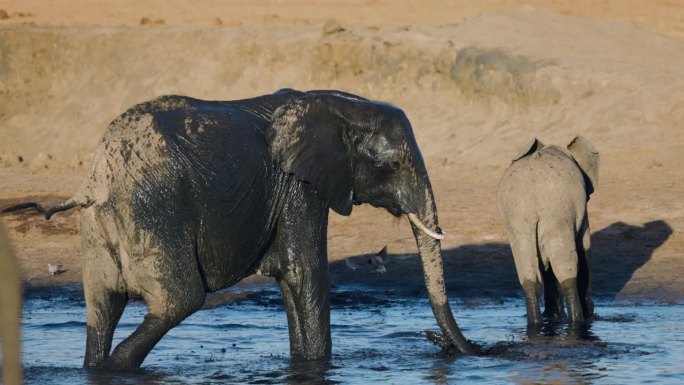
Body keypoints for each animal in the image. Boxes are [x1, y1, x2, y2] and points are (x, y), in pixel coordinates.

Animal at [28, 89, 476, 368]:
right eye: (396, 164)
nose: (435, 341)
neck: (340, 105)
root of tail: (96, 181)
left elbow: (291, 282)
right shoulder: (299, 187)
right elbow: (304, 274)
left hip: (101, 227)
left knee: (102, 308)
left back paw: (96, 366)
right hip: (154, 209)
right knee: (179, 301)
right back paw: (118, 366)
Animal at [496, 136, 600, 326]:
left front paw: (553, 317)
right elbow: (584, 249)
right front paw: (588, 312)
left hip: (517, 221)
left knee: (527, 273)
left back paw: (539, 323)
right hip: (557, 214)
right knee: (566, 270)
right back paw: (577, 321)